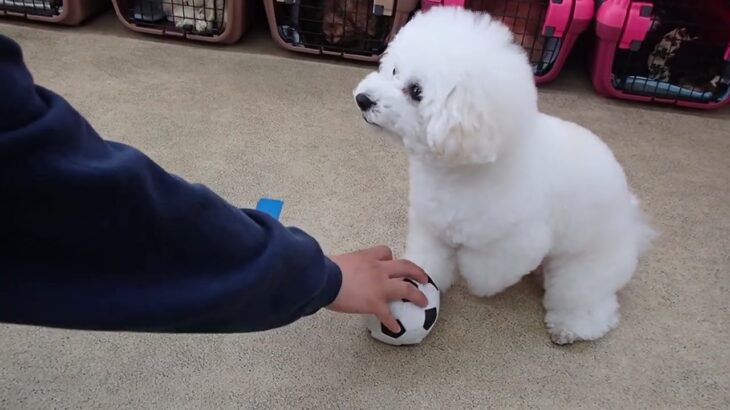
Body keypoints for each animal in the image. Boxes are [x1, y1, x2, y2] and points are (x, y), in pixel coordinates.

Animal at [350, 7, 652, 346]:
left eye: (416, 91)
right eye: (393, 70)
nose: (363, 99)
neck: (458, 171)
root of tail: (632, 223)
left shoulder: (520, 241)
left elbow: (485, 268)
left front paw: (474, 280)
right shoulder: (431, 222)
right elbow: (429, 258)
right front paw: (425, 278)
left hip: (585, 267)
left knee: (587, 300)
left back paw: (571, 327)